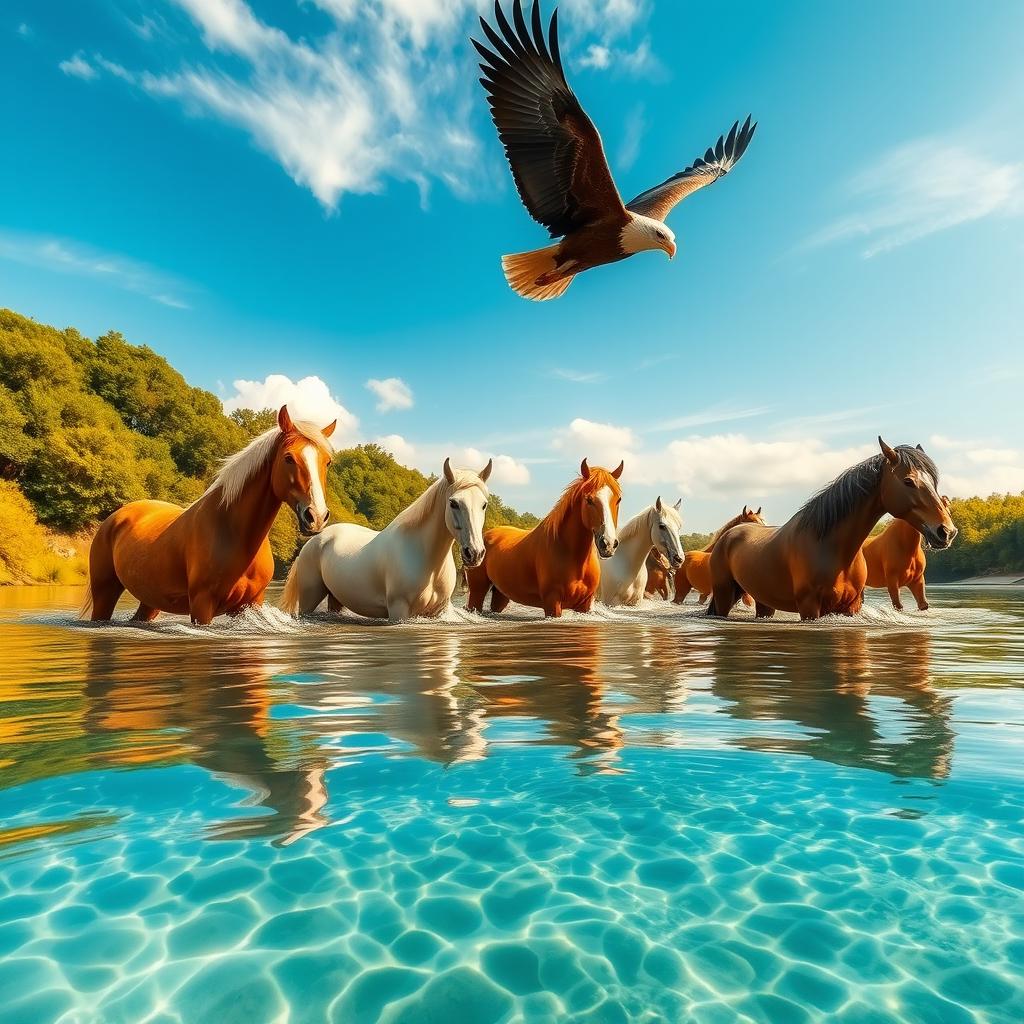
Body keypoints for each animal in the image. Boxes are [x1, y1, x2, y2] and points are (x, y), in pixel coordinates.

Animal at [81, 406, 334, 625]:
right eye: (289, 458)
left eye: (327, 462)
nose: (316, 516)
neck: (232, 531)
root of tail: (116, 517)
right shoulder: (202, 606)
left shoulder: (252, 604)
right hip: (105, 592)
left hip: (150, 601)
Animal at [281, 458, 491, 621]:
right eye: (453, 503)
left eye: (484, 504)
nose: (475, 553)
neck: (424, 557)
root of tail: (314, 542)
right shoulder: (399, 611)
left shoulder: (439, 611)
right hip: (309, 598)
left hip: (335, 599)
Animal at [466, 458, 624, 618]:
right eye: (589, 500)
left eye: (618, 500)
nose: (608, 544)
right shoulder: (552, 603)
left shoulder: (584, 605)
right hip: (477, 591)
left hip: (500, 594)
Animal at [708, 438, 956, 621]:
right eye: (908, 481)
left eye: (933, 483)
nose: (946, 531)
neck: (829, 546)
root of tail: (730, 534)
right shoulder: (809, 608)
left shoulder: (851, 607)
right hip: (724, 594)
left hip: (763, 602)